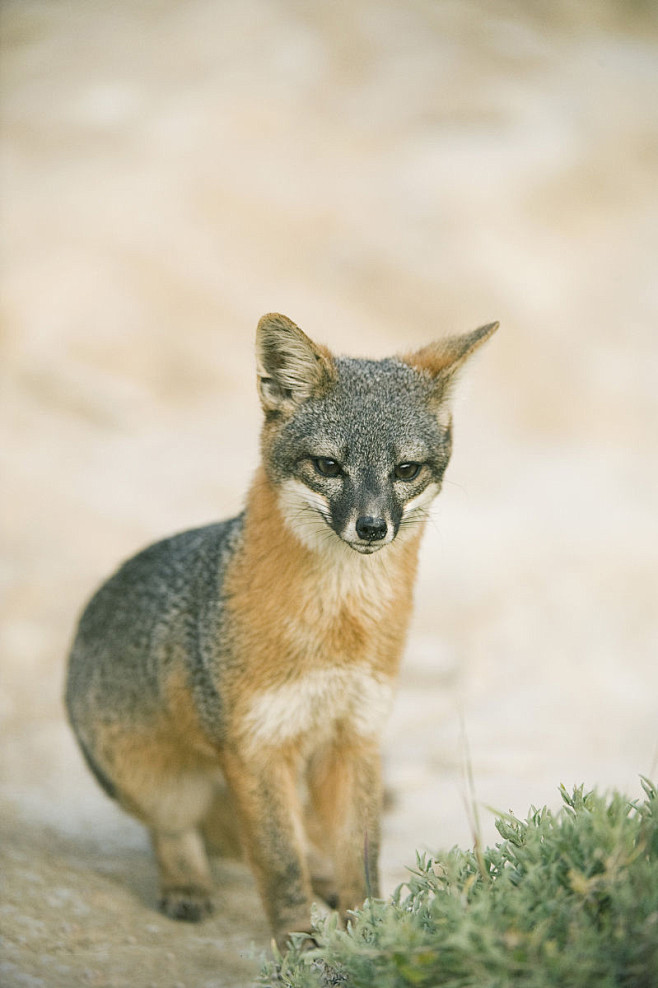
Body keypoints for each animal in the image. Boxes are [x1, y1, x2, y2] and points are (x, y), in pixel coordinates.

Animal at [66, 314, 498, 948]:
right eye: (329, 466)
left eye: (405, 470)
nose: (373, 528)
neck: (338, 631)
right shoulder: (256, 748)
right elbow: (279, 865)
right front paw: (298, 948)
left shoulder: (355, 738)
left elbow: (360, 861)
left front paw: (369, 935)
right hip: (163, 782)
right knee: (175, 832)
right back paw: (186, 884)